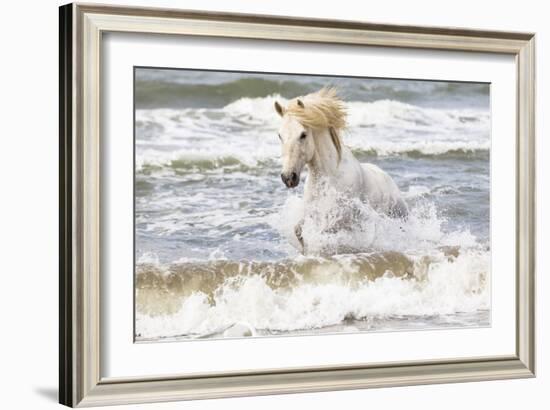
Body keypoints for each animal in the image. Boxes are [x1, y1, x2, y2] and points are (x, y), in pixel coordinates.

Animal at [276, 88, 410, 251]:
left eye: (303, 134)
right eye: (280, 135)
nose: (288, 177)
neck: (330, 176)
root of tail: (387, 178)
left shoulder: (340, 220)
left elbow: (323, 233)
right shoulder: (312, 212)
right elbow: (298, 230)